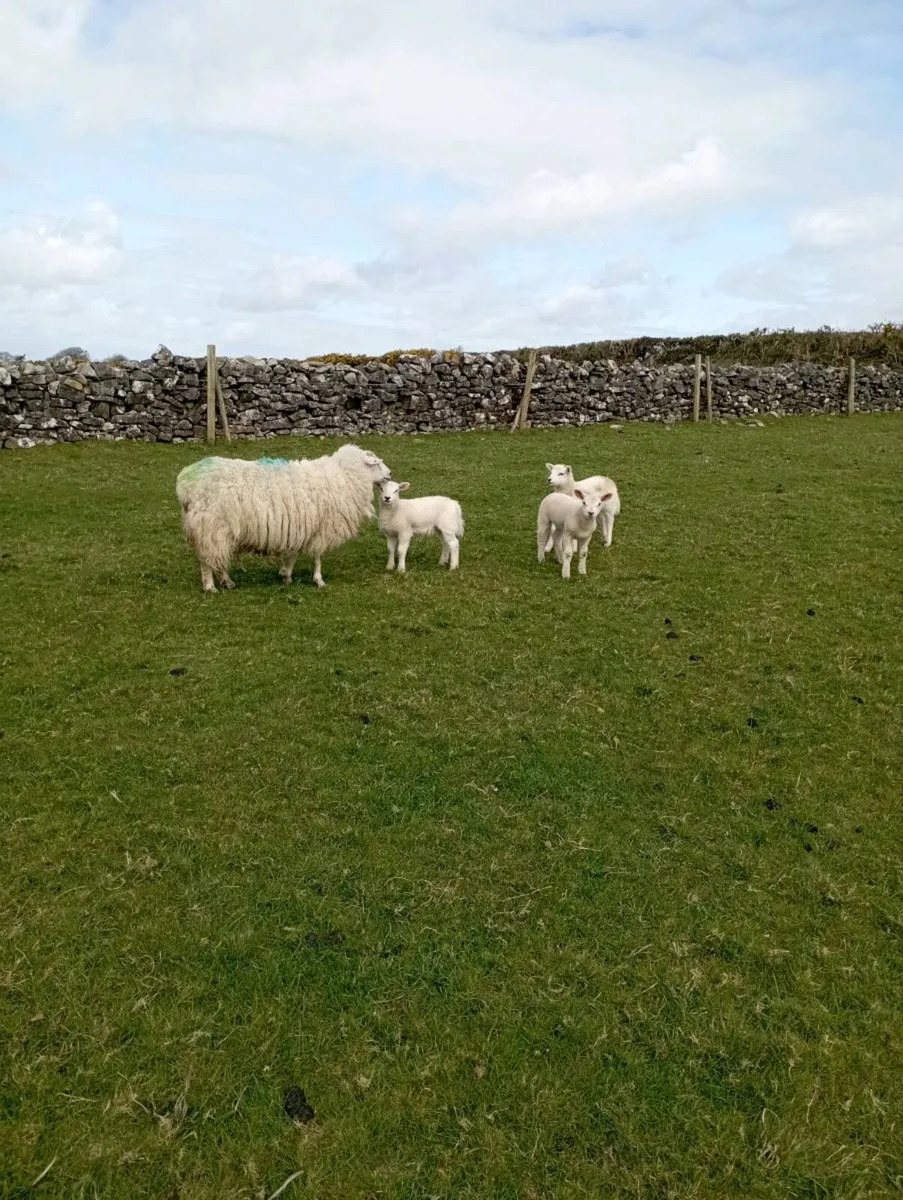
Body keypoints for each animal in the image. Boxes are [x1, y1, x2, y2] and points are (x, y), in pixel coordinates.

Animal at [176, 443, 392, 593]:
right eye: (376, 463)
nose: (390, 473)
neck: (345, 476)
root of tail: (185, 483)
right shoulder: (321, 528)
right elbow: (317, 558)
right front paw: (318, 580)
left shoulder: (299, 527)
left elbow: (293, 554)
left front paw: (286, 575)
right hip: (210, 527)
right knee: (207, 561)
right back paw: (210, 586)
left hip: (217, 532)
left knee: (216, 559)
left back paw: (227, 582)